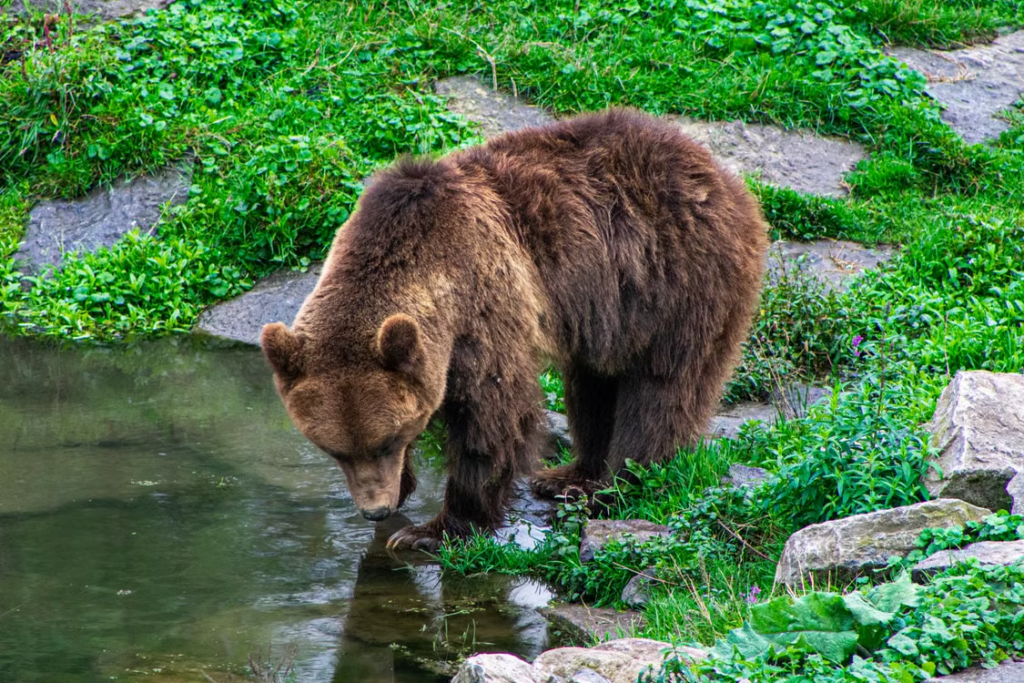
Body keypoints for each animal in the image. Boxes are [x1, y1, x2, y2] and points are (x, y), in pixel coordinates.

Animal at [261, 108, 769, 551]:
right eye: (335, 450)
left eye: (386, 440)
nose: (376, 511)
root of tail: (721, 175)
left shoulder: (482, 304)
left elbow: (493, 415)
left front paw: (432, 530)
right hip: (610, 309)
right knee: (592, 383)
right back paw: (569, 476)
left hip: (678, 278)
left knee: (661, 389)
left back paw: (615, 487)